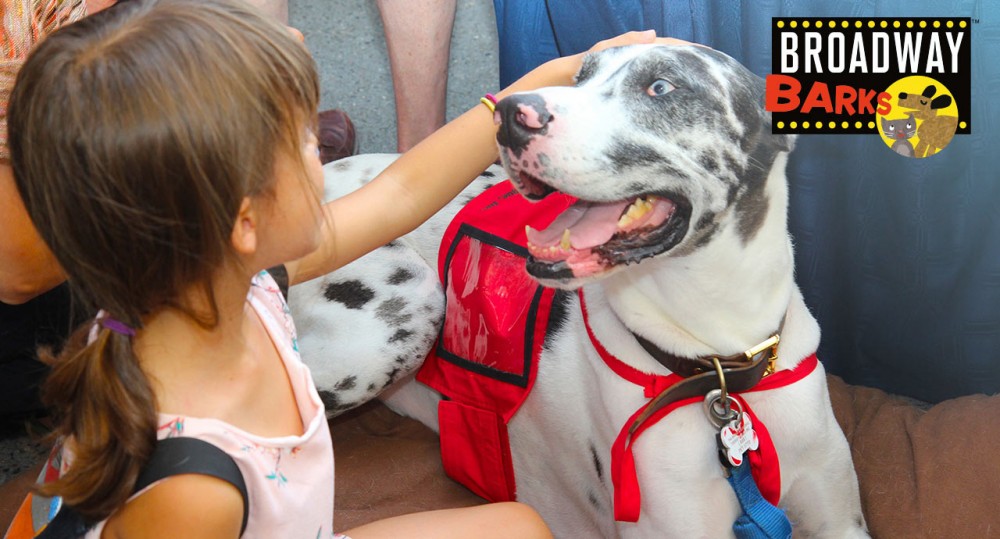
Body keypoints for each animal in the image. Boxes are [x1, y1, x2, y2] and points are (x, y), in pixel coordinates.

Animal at [294, 44, 868, 536]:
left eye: (661, 86)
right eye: (580, 77)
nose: (510, 112)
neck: (720, 371)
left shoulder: (839, 521)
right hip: (409, 302)